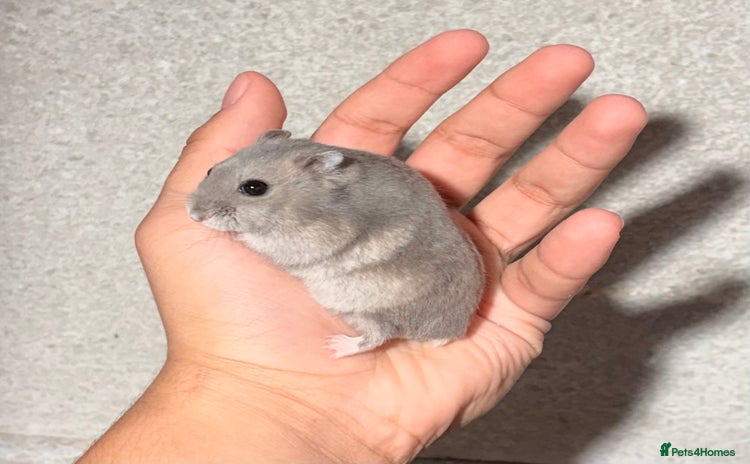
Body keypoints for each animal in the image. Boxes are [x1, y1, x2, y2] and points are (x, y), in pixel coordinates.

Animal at [188, 130, 484, 357]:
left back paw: (334, 347)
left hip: (372, 309)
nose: (193, 215)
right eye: (211, 168)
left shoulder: (303, 241)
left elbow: (259, 240)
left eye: (254, 188)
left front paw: (239, 234)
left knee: (378, 337)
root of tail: (456, 328)